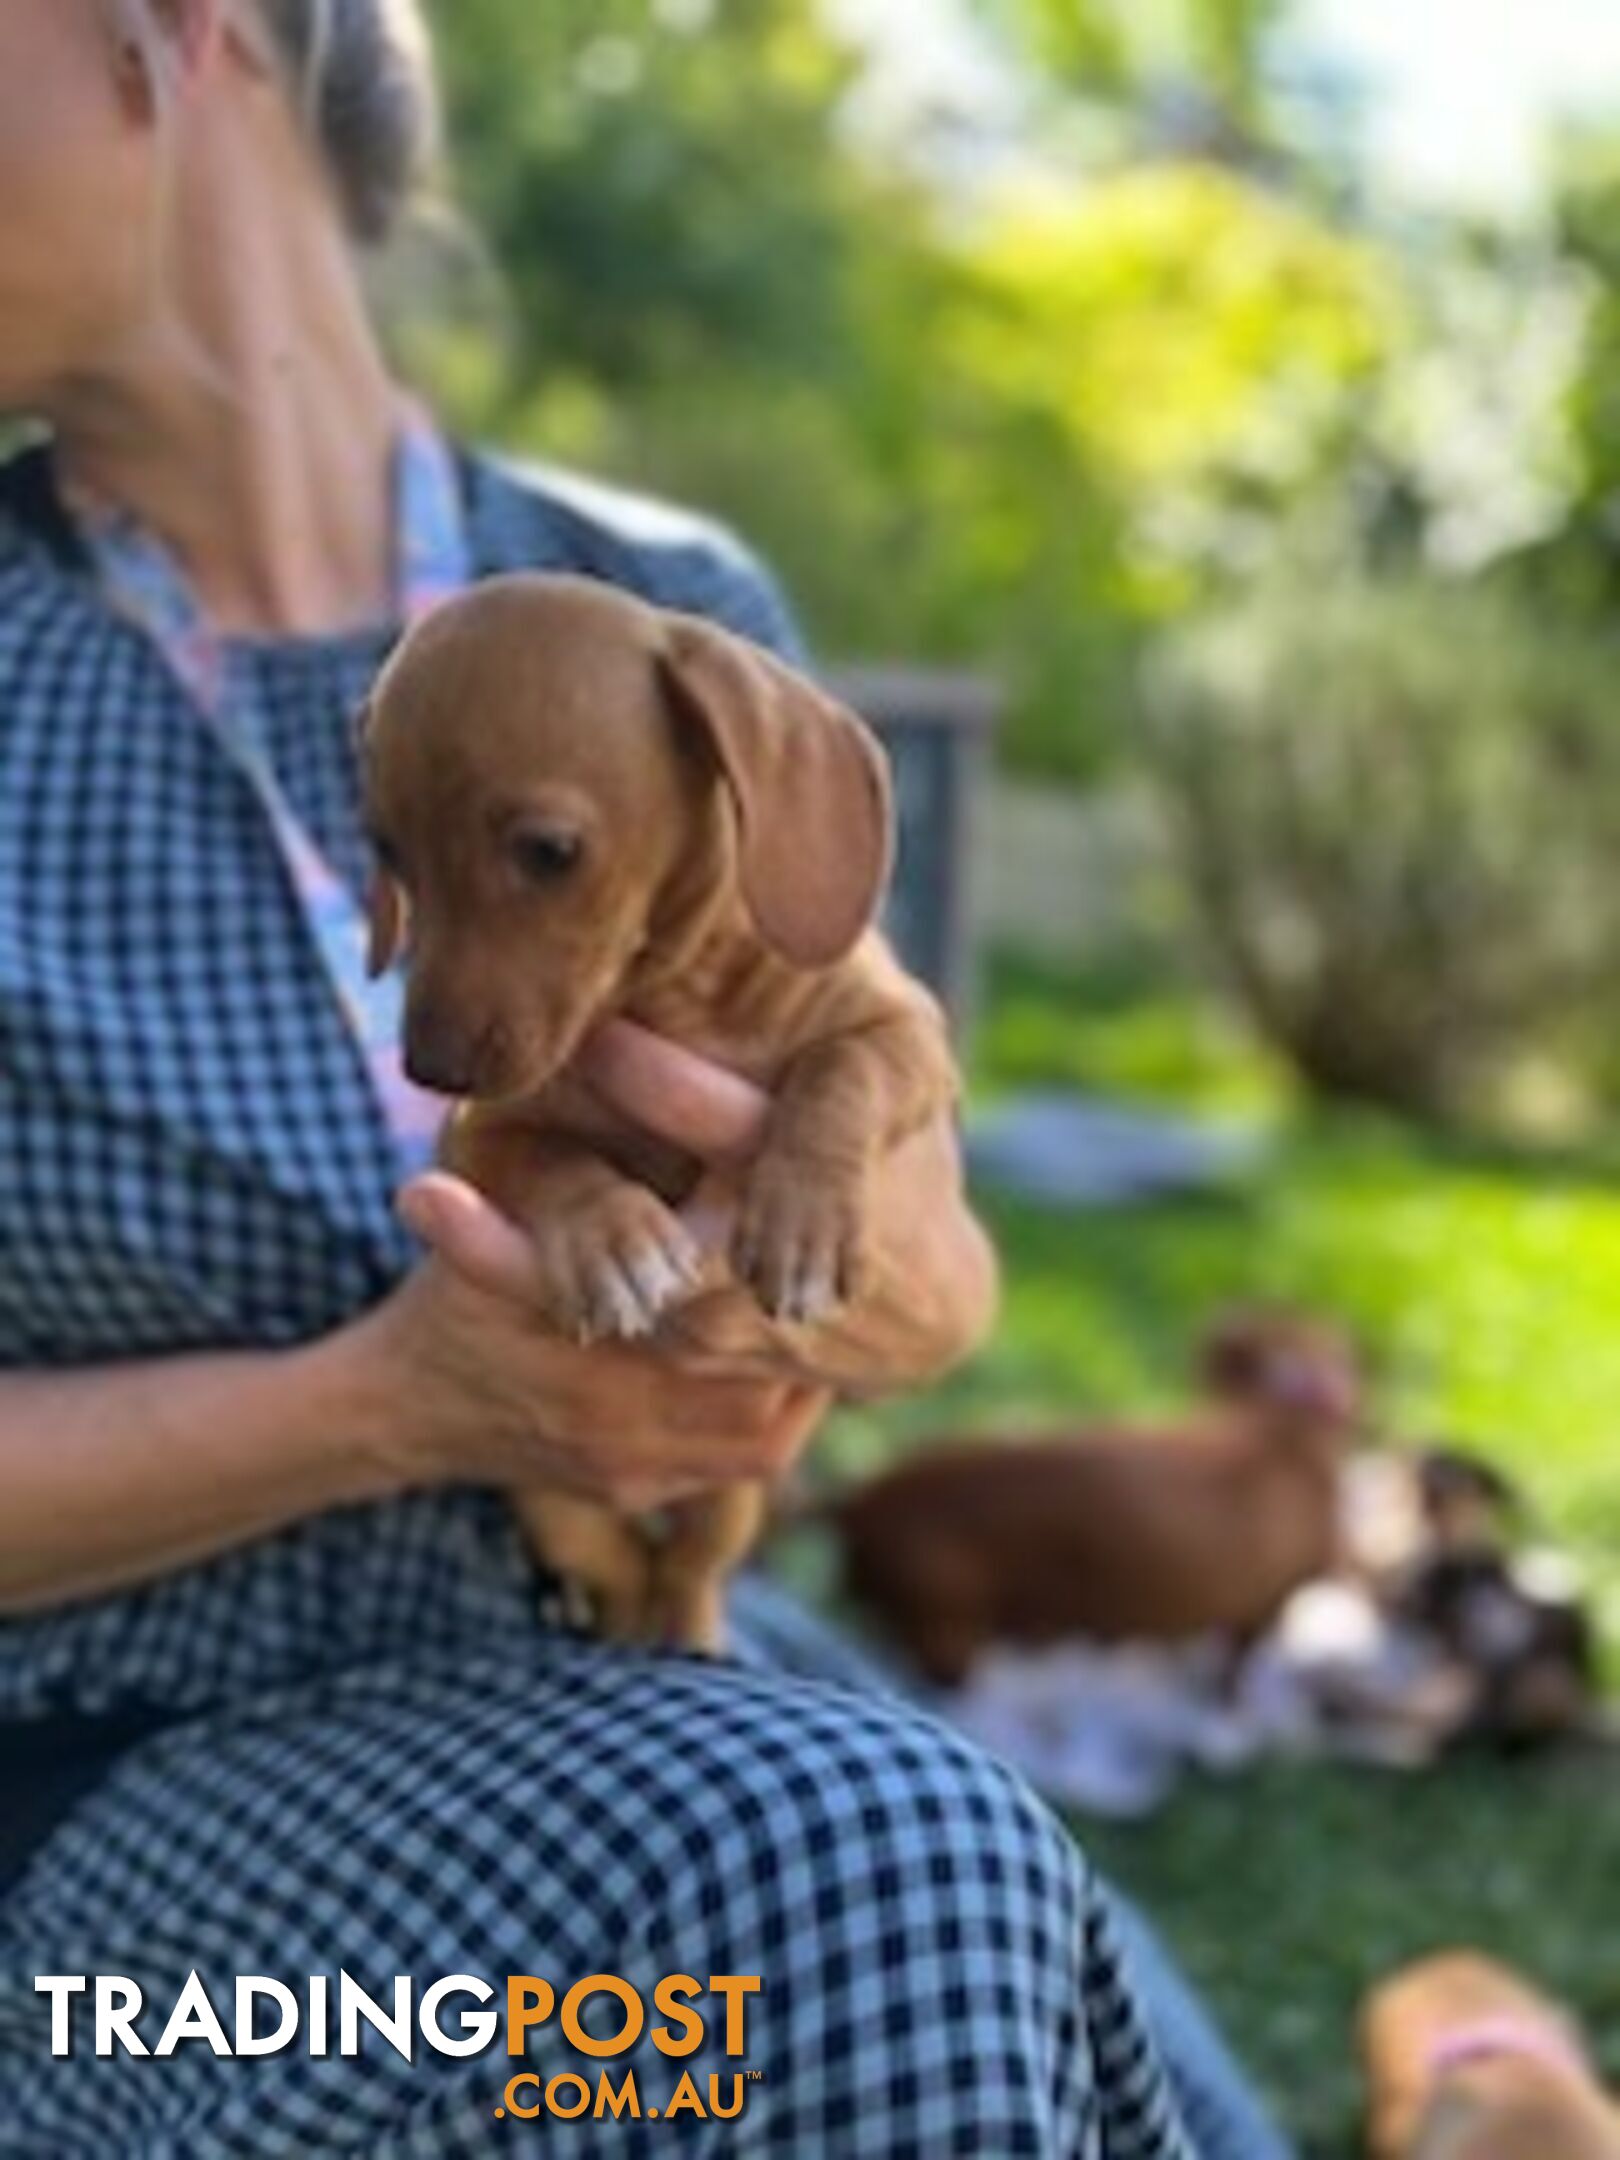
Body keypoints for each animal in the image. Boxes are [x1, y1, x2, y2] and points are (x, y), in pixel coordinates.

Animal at [360, 574, 959, 1650]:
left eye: (549, 851)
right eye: (385, 851)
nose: (428, 1068)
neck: (679, 999)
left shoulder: (909, 1031)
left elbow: (843, 1070)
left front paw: (804, 1223)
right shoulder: (483, 1136)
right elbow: (550, 1163)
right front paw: (610, 1243)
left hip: (733, 1494)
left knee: (688, 1566)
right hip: (549, 1499)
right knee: (619, 1565)